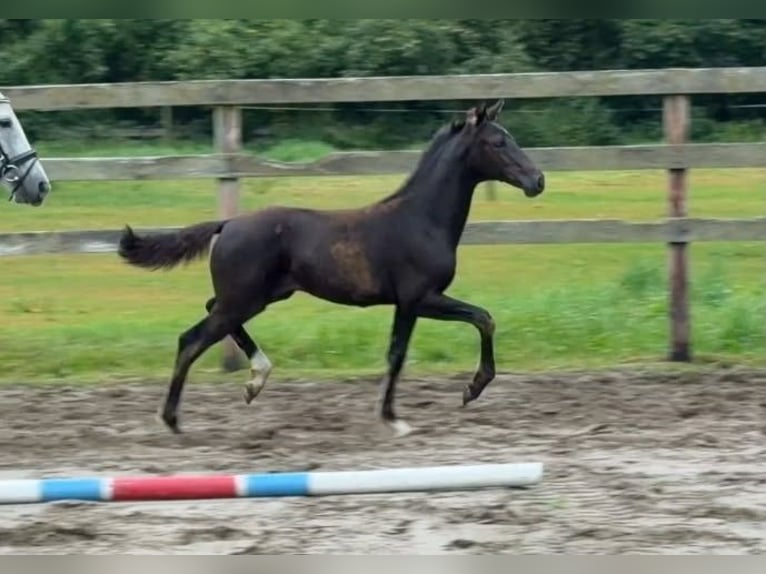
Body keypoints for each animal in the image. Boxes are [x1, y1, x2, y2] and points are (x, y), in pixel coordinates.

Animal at [118, 99, 545, 437]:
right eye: (498, 142)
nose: (537, 180)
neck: (421, 219)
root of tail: (227, 224)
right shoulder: (418, 298)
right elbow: (446, 333)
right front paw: (408, 414)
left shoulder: (408, 303)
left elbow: (429, 339)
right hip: (244, 299)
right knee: (190, 340)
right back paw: (172, 419)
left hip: (257, 297)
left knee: (210, 313)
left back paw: (256, 379)